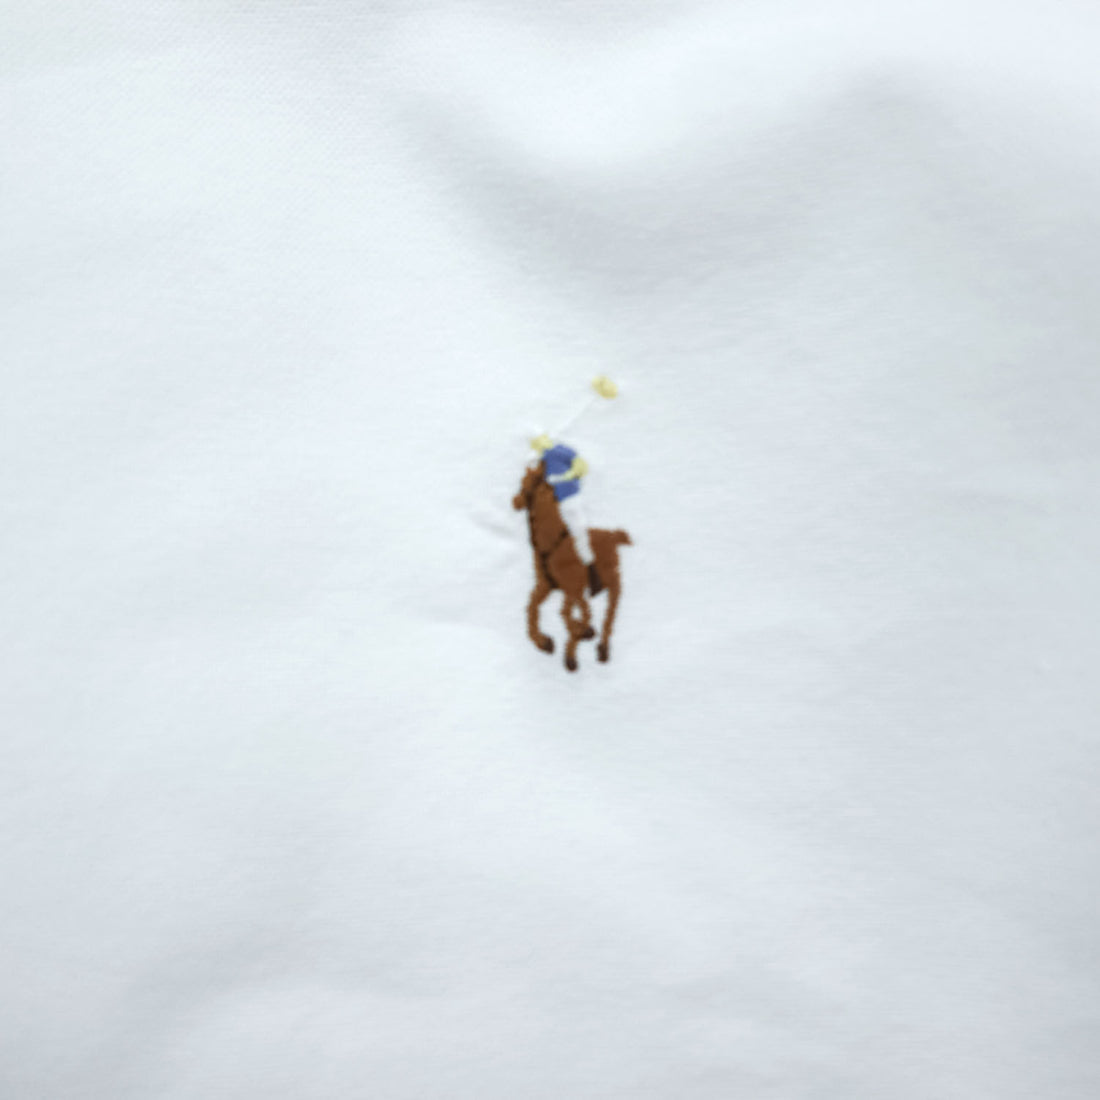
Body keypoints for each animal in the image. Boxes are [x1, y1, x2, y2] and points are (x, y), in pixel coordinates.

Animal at [512, 461, 632, 672]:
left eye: (525, 483)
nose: (515, 501)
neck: (553, 543)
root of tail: (613, 535)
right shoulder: (547, 585)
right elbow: (533, 607)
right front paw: (545, 643)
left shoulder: (573, 588)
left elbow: (572, 615)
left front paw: (571, 654)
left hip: (613, 585)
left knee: (608, 616)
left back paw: (601, 649)